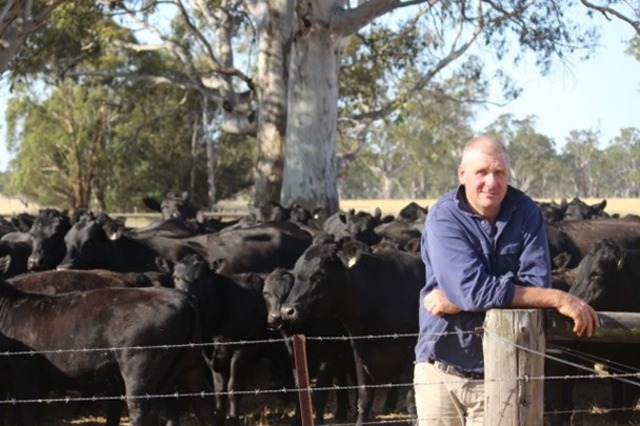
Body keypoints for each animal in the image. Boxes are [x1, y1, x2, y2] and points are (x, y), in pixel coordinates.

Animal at [0, 279, 215, 426]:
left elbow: (27, 415)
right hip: (191, 366)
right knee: (203, 405)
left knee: (142, 411)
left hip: (139, 372)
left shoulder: (26, 377)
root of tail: (182, 298)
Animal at [278, 239, 424, 425]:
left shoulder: (412, 357)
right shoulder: (360, 353)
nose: (287, 311)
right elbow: (364, 398)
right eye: (296, 275)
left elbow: (413, 402)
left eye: (320, 275)